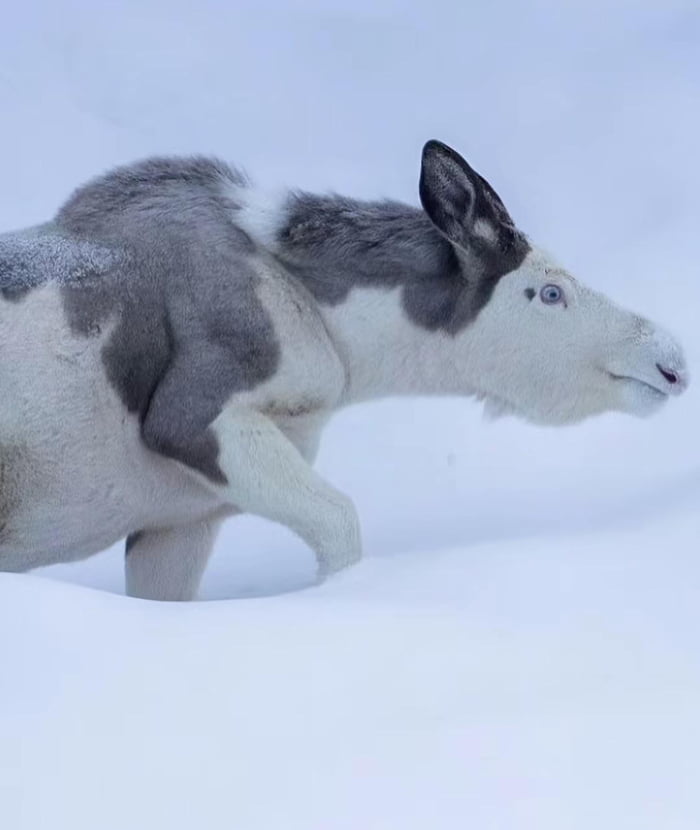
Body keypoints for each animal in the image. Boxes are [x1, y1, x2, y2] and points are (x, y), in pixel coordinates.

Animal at [0, 141, 688, 600]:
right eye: (549, 293)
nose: (672, 361)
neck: (340, 340)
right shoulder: (193, 419)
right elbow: (342, 528)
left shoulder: (180, 519)